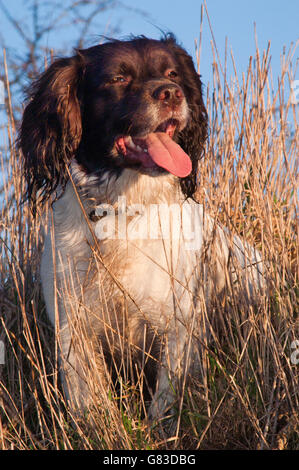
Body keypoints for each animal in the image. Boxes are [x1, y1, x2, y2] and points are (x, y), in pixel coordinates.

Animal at [19, 35, 264, 424]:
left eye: (173, 73)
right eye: (119, 79)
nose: (171, 93)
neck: (124, 211)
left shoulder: (180, 324)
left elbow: (167, 398)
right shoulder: (72, 324)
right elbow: (88, 401)